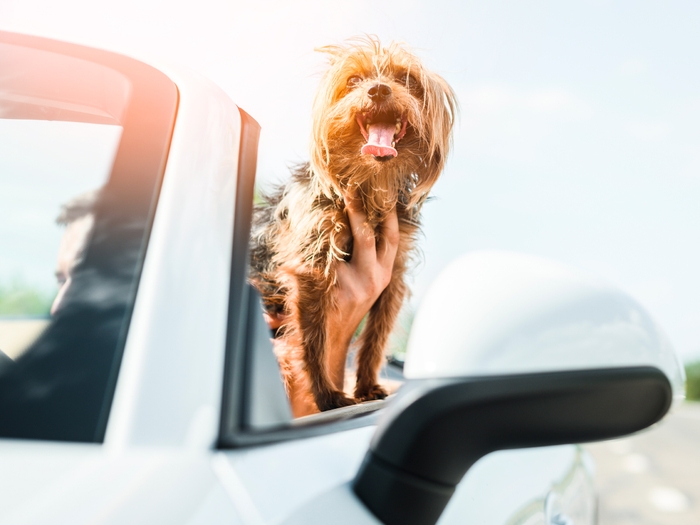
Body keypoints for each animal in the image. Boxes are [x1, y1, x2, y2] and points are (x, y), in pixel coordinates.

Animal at [249, 37, 456, 414]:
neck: (371, 183)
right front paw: (325, 394)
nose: (378, 90)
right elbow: (313, 338)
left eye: (405, 80)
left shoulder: (393, 273)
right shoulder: (311, 263)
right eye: (354, 81)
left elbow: (376, 335)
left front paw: (367, 385)